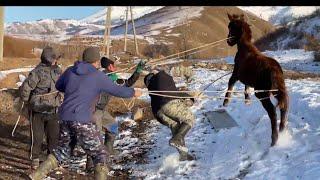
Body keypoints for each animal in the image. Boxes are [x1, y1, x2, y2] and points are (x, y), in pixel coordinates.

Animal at [224, 13, 288, 146]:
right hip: (276, 90)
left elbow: (230, 83)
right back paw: (282, 129)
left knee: (272, 112)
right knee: (284, 106)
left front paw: (225, 102)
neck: (245, 48)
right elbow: (246, 87)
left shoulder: (236, 74)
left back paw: (274, 139)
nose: (228, 41)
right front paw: (247, 101)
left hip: (262, 93)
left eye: (231, 27)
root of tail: (274, 70)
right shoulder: (247, 79)